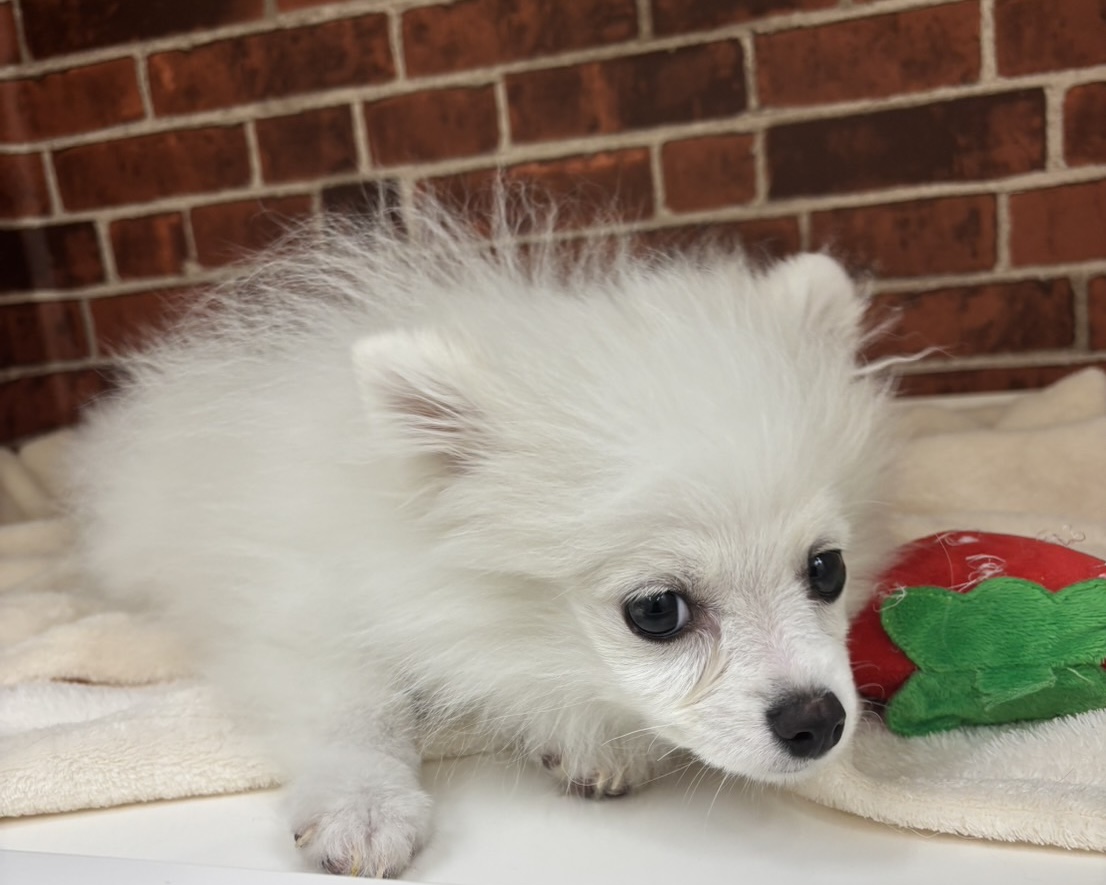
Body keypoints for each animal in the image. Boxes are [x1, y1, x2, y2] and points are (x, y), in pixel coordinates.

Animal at [68, 197, 897, 877]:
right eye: (657, 611)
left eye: (827, 569)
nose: (818, 719)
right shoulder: (299, 612)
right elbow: (357, 706)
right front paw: (365, 803)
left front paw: (592, 740)